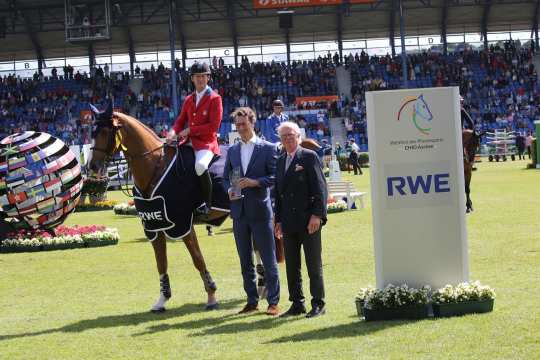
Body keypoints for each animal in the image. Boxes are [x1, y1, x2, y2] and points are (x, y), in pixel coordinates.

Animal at [88, 105, 230, 312]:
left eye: (105, 132)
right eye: (92, 132)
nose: (92, 166)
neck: (154, 166)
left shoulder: (182, 225)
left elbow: (197, 259)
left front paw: (211, 296)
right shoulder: (154, 226)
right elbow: (161, 263)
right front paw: (162, 299)